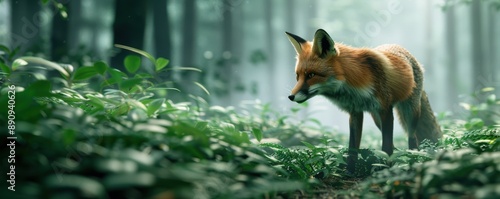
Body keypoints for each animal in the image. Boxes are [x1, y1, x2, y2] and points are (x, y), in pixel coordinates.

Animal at [286, 28, 442, 173]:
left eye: (311, 75)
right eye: (298, 76)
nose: (291, 97)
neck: (354, 86)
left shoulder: (385, 109)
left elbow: (386, 146)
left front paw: (385, 169)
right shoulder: (355, 112)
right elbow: (353, 148)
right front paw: (349, 172)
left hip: (410, 112)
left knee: (412, 137)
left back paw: (413, 159)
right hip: (376, 119)